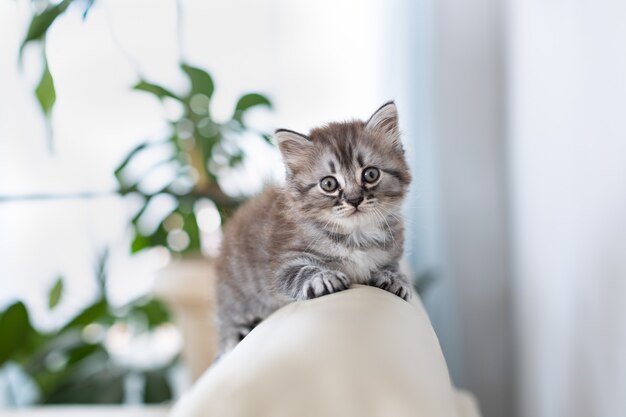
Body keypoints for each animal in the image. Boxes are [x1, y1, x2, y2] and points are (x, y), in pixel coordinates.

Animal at [213, 102, 410, 352]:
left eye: (371, 174)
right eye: (329, 184)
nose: (354, 200)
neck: (356, 235)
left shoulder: (392, 252)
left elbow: (393, 267)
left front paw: (396, 279)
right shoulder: (281, 263)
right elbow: (301, 271)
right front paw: (324, 278)